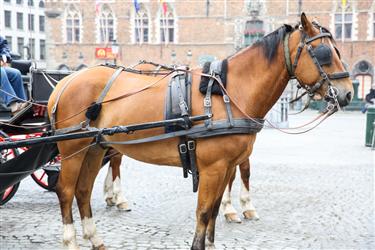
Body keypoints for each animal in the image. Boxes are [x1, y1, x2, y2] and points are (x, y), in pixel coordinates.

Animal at [48, 14, 354, 250]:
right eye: (325, 54)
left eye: (338, 50)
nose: (348, 93)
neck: (228, 93)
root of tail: (66, 81)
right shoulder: (213, 167)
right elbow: (204, 212)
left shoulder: (227, 167)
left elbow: (216, 210)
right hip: (74, 149)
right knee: (66, 190)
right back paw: (71, 240)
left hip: (94, 147)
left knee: (83, 191)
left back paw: (95, 238)